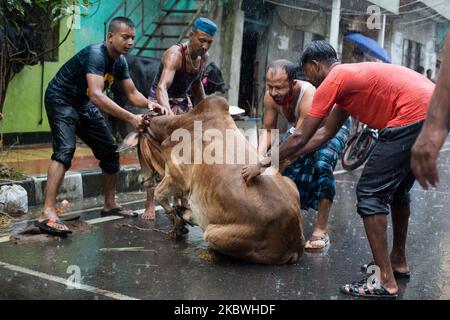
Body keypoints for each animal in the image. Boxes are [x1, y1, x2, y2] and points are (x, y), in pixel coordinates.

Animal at [138, 95, 306, 264]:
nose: (145, 179)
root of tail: (296, 244)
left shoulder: (175, 177)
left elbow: (160, 195)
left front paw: (177, 225)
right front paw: (179, 222)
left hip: (213, 233)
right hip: (291, 183)